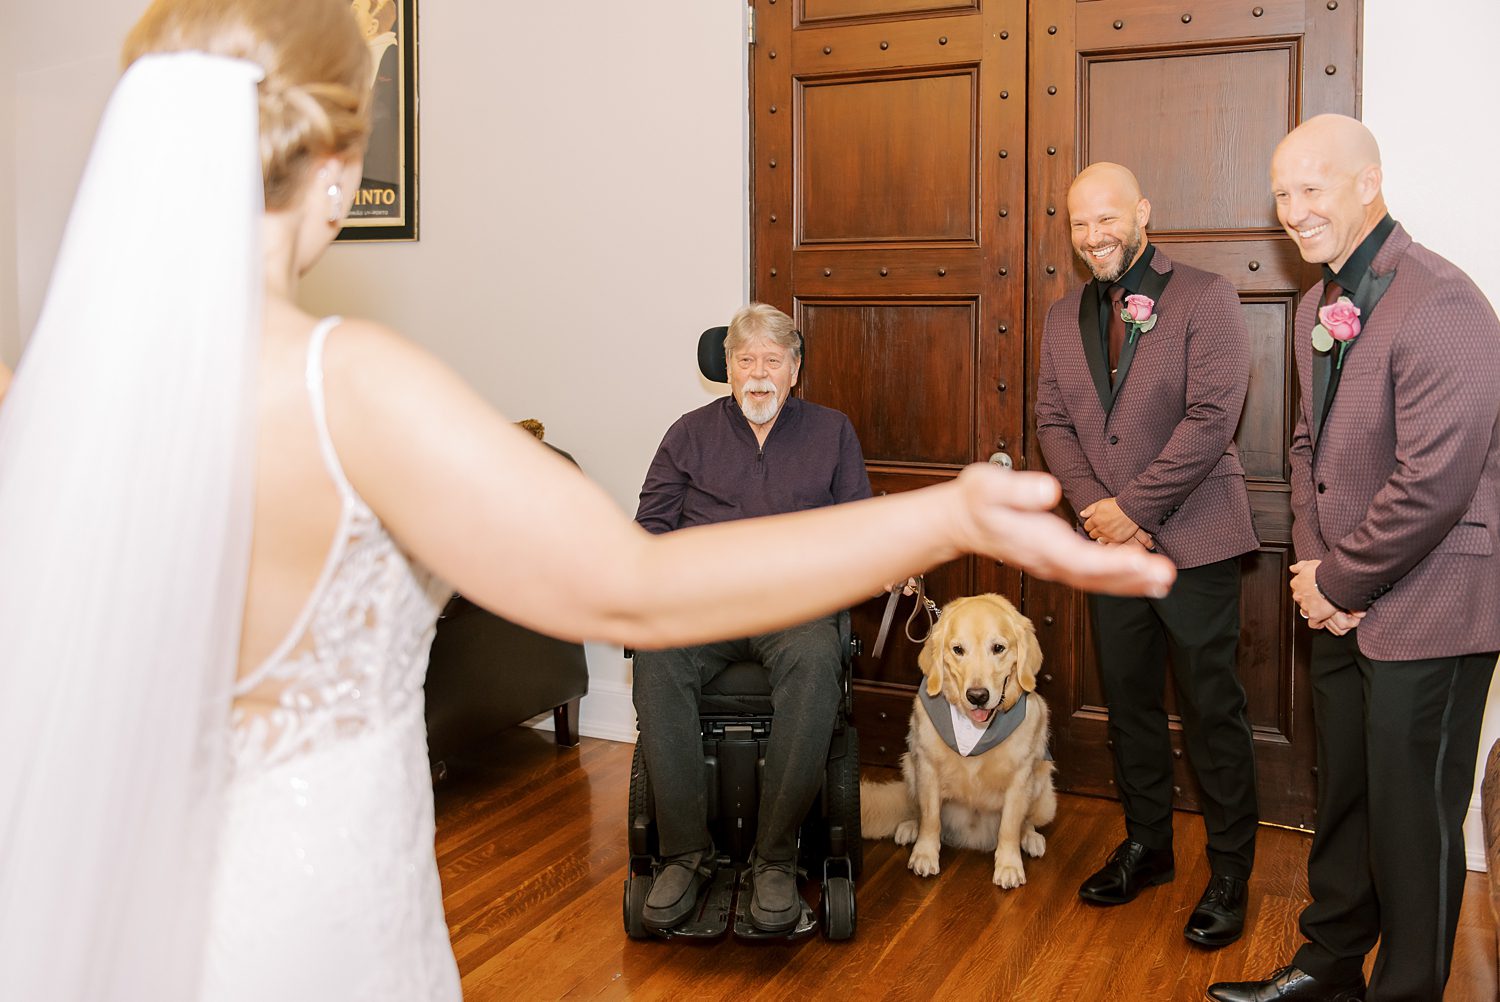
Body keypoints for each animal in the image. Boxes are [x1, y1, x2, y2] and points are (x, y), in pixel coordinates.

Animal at [864, 591, 1062, 888]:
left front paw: (1009, 865)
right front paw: (924, 854)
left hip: (1042, 787)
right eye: (958, 650)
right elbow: (931, 818)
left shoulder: (1020, 778)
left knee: (1026, 822)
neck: (974, 731)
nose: (977, 696)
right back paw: (910, 827)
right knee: (917, 811)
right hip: (910, 767)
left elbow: (1009, 826)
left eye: (998, 648)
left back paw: (1030, 838)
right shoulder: (927, 768)